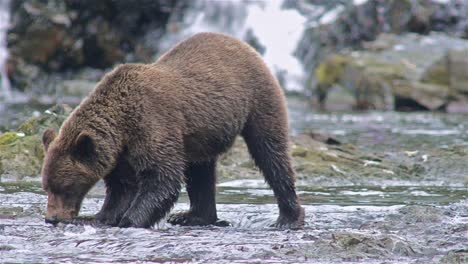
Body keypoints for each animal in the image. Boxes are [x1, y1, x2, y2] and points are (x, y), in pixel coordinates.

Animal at [42, 32, 306, 228]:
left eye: (65, 187)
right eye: (46, 187)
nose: (51, 218)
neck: (122, 125)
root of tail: (242, 44)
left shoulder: (151, 124)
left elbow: (162, 178)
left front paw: (129, 220)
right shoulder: (119, 153)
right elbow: (122, 187)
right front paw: (98, 217)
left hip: (258, 100)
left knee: (270, 154)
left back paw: (288, 218)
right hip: (200, 135)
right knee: (200, 172)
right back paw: (192, 216)